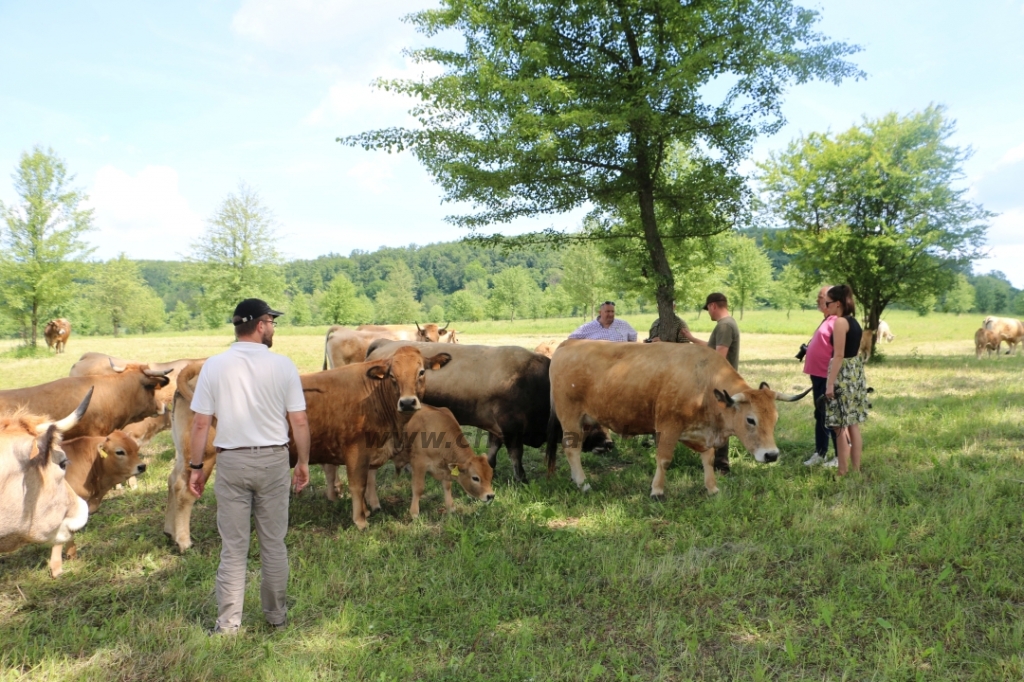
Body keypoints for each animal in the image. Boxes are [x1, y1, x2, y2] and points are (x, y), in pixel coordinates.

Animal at [164, 346, 452, 548]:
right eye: (392, 375)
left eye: (421, 372)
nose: (407, 402)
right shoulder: (356, 449)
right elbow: (358, 485)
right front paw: (360, 520)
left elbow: (369, 480)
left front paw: (370, 508)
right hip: (202, 455)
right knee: (185, 492)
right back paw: (184, 541)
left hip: (183, 454)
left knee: (172, 482)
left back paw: (169, 532)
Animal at [548, 337, 811, 493]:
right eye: (750, 420)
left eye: (775, 419)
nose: (772, 455)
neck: (704, 384)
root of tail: (570, 342)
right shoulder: (668, 426)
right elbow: (664, 459)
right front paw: (657, 490)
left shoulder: (698, 433)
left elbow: (708, 458)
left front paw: (712, 488)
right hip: (570, 417)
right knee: (572, 450)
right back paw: (583, 483)